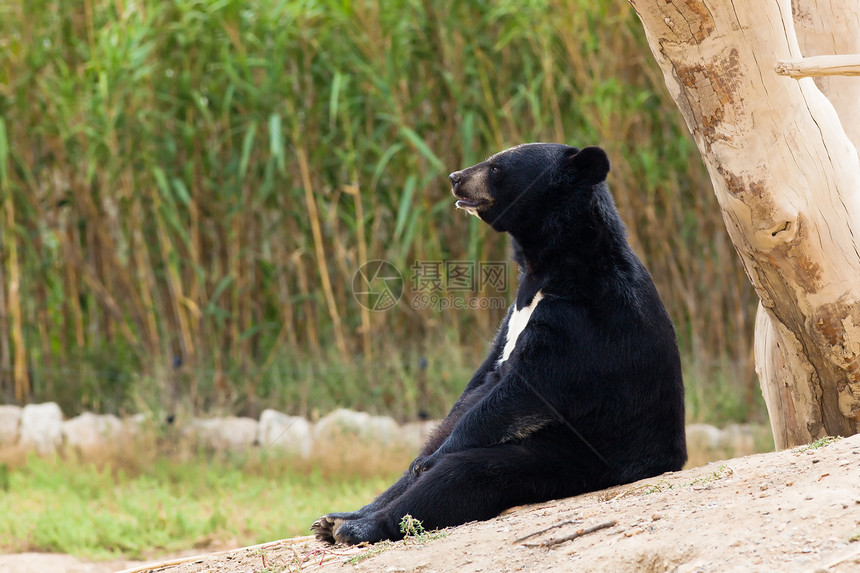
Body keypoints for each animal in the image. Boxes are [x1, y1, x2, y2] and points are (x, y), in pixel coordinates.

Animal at [310, 143, 684, 544]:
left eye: (497, 168)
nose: (455, 178)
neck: (548, 266)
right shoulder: (511, 320)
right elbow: (481, 383)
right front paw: (420, 460)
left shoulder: (581, 321)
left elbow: (523, 390)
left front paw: (432, 460)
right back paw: (334, 519)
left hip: (582, 454)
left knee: (465, 474)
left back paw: (359, 526)